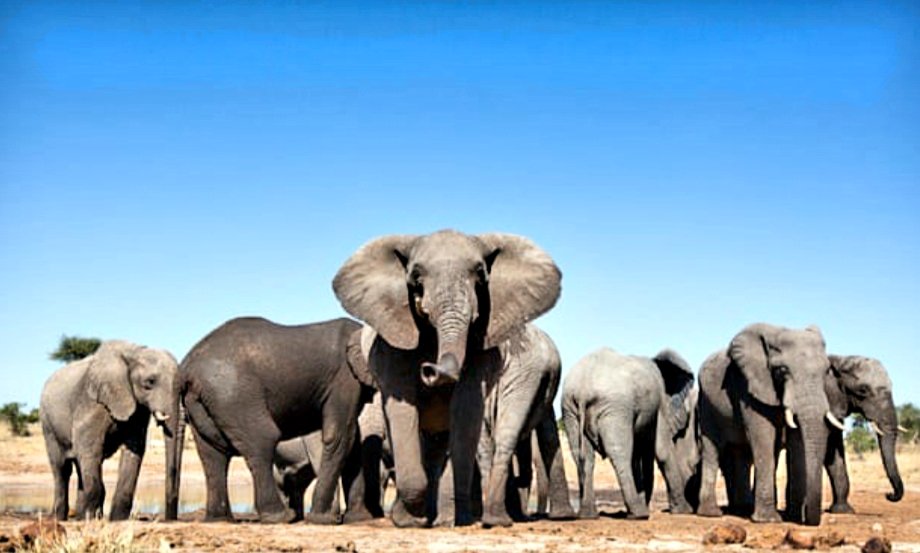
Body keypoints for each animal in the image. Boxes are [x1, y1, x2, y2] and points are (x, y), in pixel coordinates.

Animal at [39, 340, 179, 521]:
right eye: (150, 382)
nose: (170, 518)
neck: (134, 352)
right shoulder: (93, 402)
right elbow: (90, 450)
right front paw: (91, 518)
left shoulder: (137, 410)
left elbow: (133, 451)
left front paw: (117, 520)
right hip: (48, 423)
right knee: (62, 468)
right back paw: (61, 518)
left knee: (80, 466)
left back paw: (80, 516)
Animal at [170, 317, 374, 524]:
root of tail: (186, 366)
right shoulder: (345, 378)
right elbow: (341, 436)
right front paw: (323, 519)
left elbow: (353, 442)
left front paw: (359, 518)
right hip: (233, 394)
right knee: (261, 440)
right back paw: (281, 517)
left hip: (203, 399)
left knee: (212, 453)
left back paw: (220, 519)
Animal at [333, 230, 561, 527]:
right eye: (416, 278)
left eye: (480, 275)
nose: (429, 369)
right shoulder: (391, 342)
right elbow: (403, 409)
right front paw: (409, 521)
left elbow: (465, 408)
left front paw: (451, 520)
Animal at [561, 348, 698, 520]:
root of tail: (583, 388)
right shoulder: (660, 402)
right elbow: (662, 451)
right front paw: (684, 511)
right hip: (615, 409)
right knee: (619, 454)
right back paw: (639, 514)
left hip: (570, 410)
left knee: (583, 457)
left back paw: (589, 515)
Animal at [697, 323, 835, 526]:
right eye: (782, 370)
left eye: (826, 371)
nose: (809, 519)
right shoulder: (748, 385)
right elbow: (764, 438)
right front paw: (768, 520)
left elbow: (795, 442)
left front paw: (793, 517)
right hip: (706, 404)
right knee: (712, 449)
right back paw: (711, 514)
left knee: (741, 453)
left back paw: (743, 509)